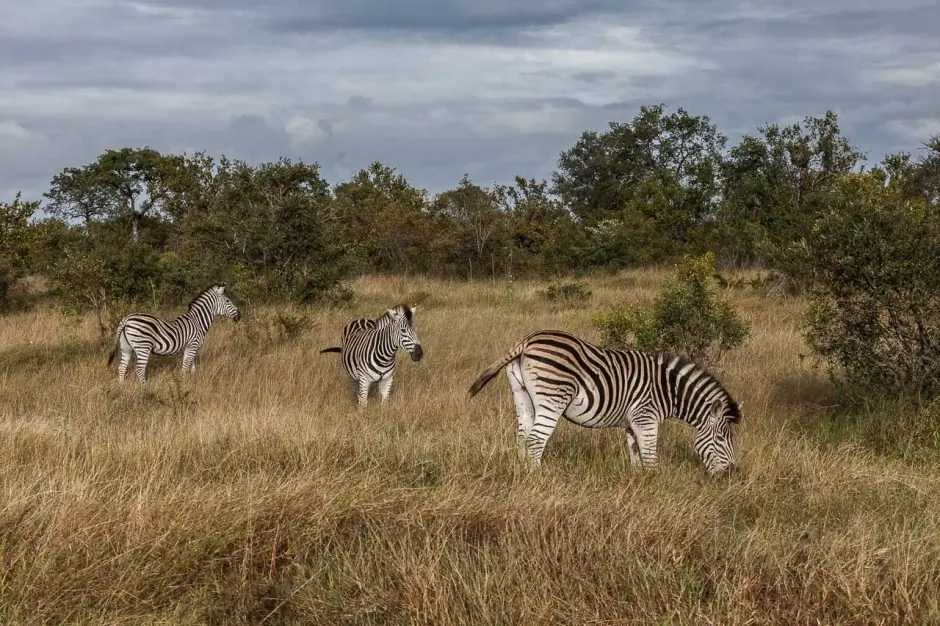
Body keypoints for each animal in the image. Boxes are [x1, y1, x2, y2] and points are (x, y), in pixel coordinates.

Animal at [106, 282, 241, 380]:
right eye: (228, 301)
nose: (239, 315)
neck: (198, 321)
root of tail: (127, 319)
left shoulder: (191, 348)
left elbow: (192, 367)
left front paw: (192, 381)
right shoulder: (192, 346)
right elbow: (185, 367)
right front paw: (183, 383)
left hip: (126, 347)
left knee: (121, 367)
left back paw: (122, 387)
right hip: (143, 347)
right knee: (139, 369)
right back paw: (143, 390)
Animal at [470, 326, 740, 472]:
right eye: (720, 438)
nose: (731, 473)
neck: (668, 390)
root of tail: (526, 341)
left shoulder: (633, 423)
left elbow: (635, 454)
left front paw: (639, 481)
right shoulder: (646, 418)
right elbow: (650, 457)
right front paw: (655, 485)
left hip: (522, 395)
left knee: (522, 436)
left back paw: (522, 472)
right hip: (552, 397)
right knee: (536, 439)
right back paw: (538, 476)